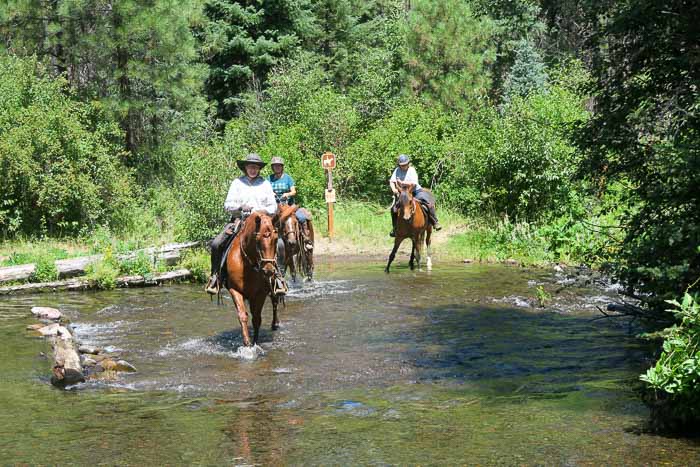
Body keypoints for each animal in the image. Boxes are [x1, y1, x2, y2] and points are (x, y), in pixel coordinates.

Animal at [224, 212, 278, 348]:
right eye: (257, 240)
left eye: (275, 239)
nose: (268, 270)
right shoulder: (235, 290)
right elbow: (243, 315)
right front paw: (247, 343)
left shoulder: (260, 293)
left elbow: (257, 319)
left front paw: (255, 342)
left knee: (275, 301)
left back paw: (275, 324)